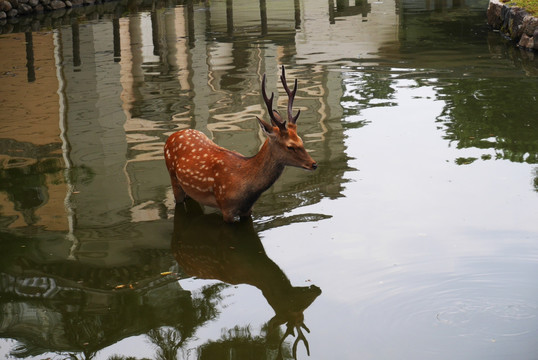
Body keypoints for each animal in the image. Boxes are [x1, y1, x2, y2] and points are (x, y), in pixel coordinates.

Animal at [161, 65, 316, 221]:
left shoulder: (248, 210)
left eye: (301, 140)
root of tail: (171, 137)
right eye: (290, 146)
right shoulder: (226, 207)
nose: (314, 164)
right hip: (173, 177)